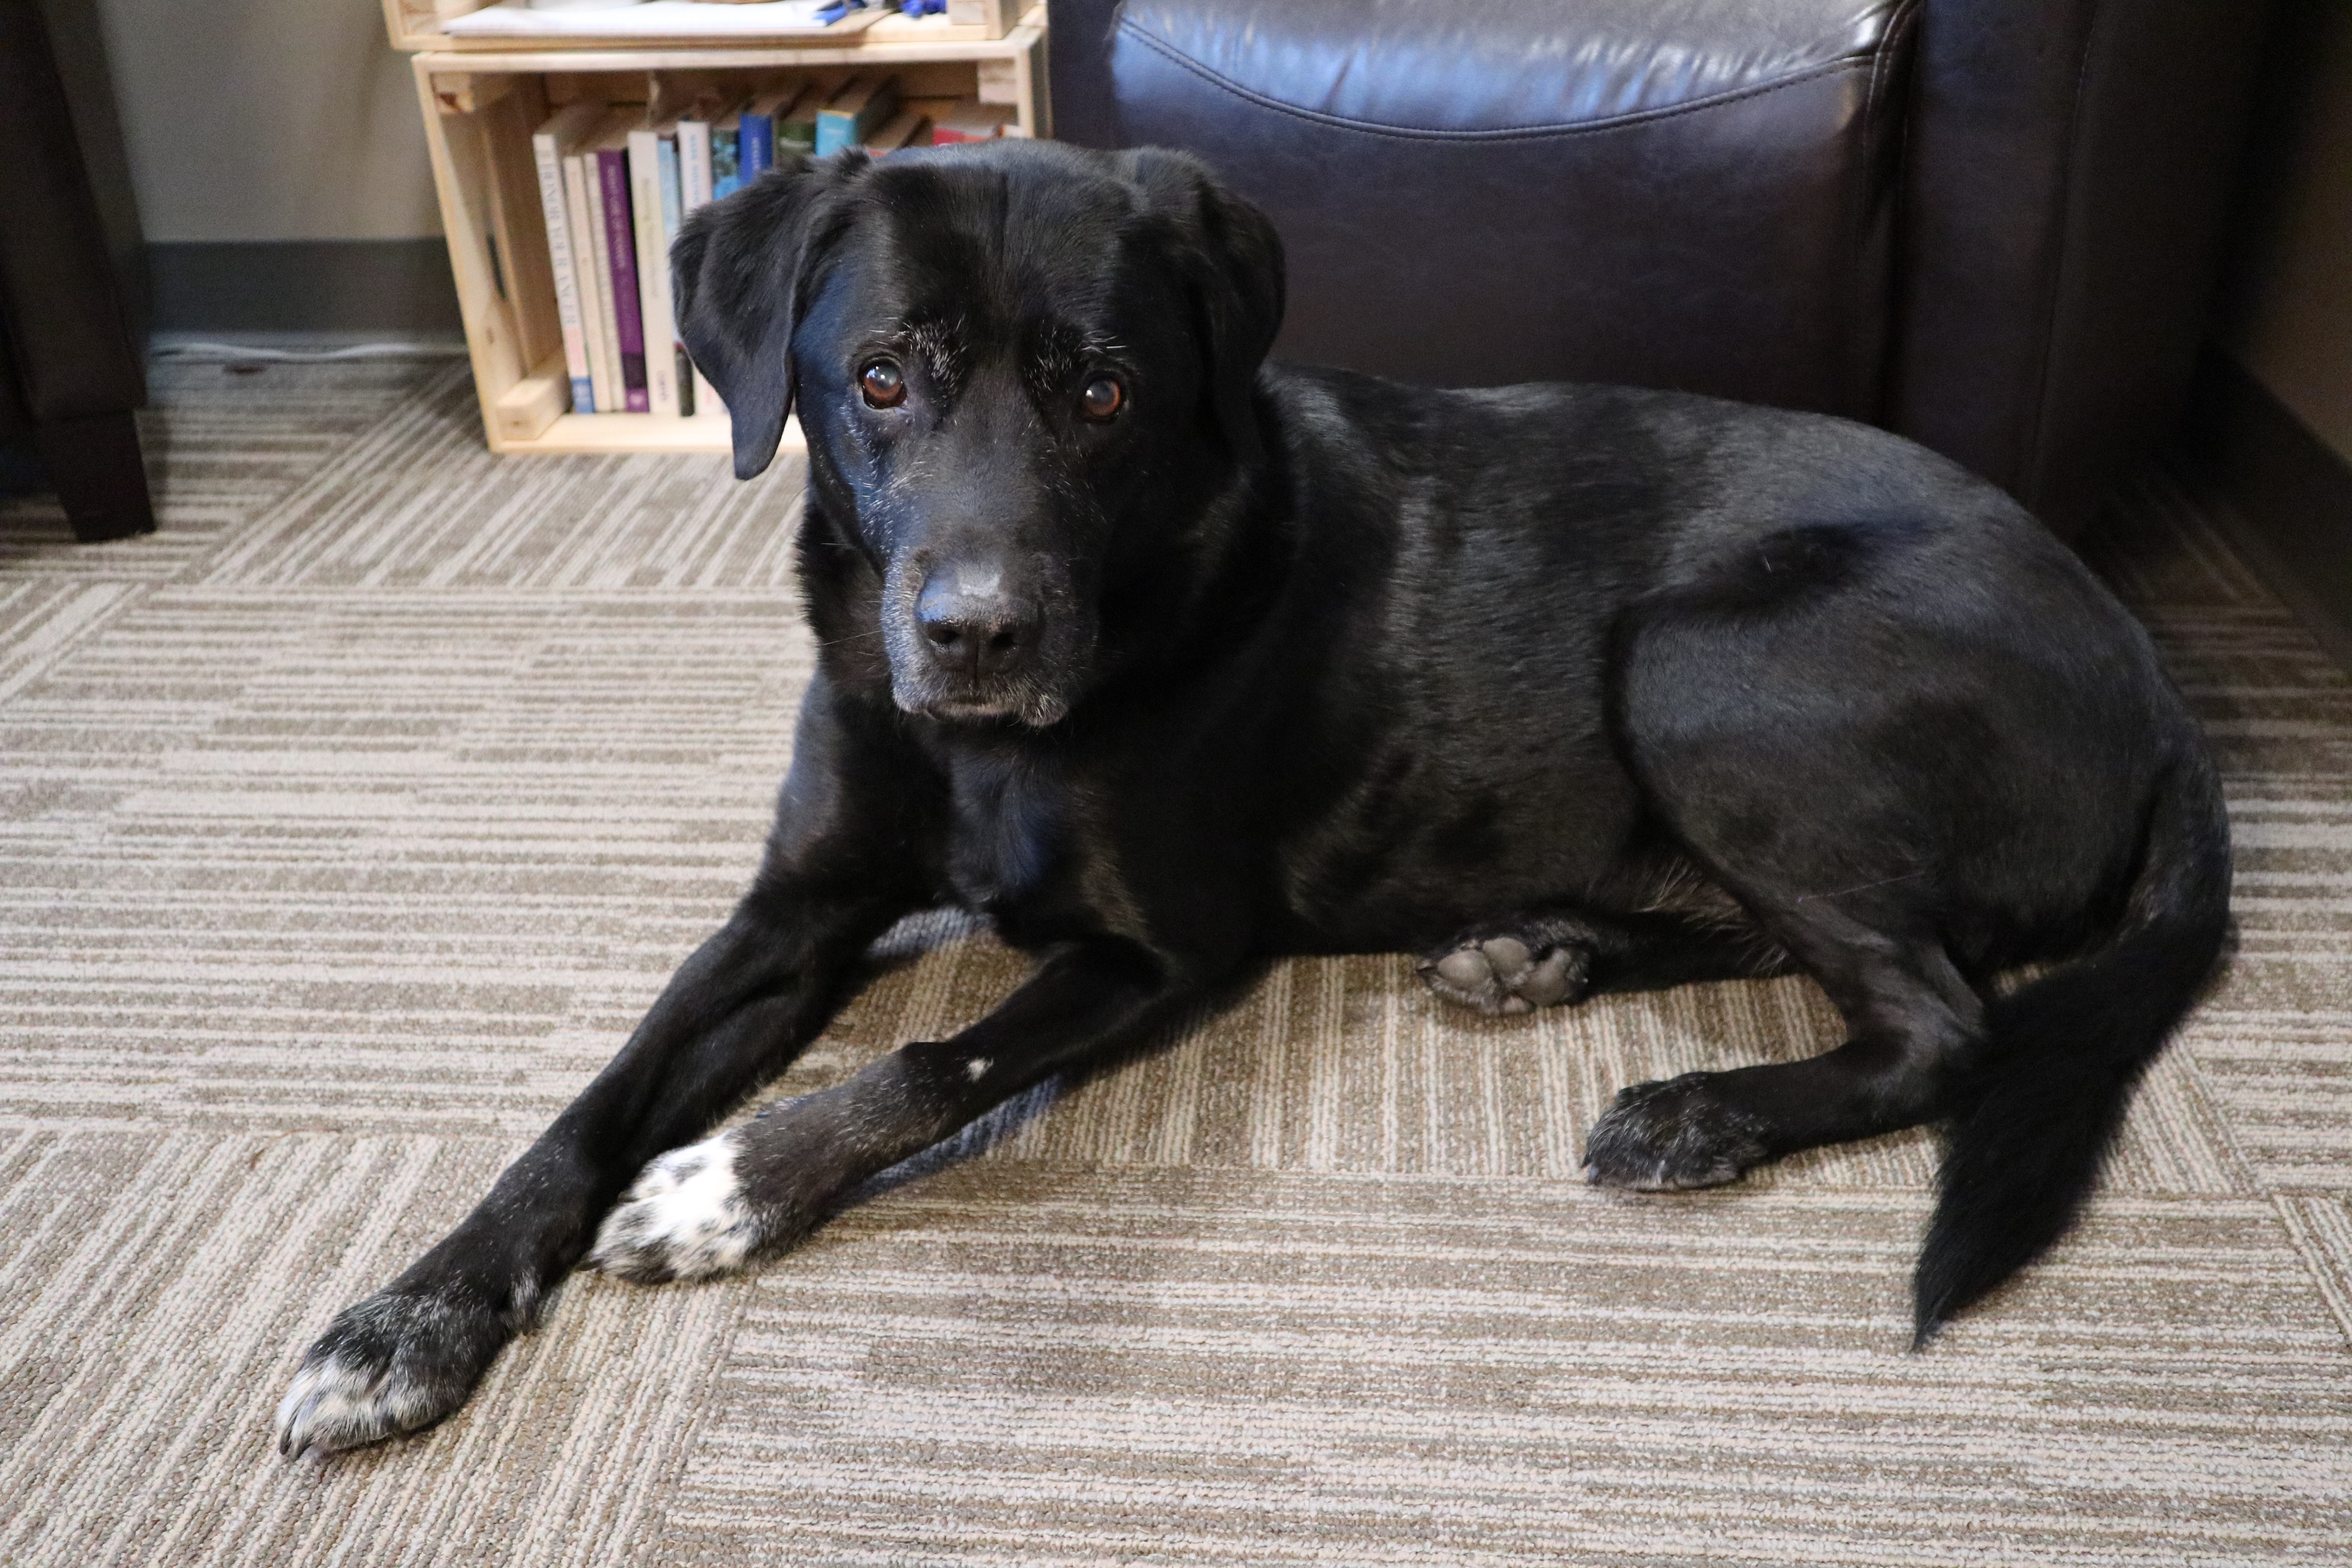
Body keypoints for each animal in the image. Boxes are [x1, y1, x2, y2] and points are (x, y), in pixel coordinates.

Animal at [270, 144, 2220, 1457]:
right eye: (879, 378)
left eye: (1103, 392)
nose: (974, 634)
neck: (992, 743)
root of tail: (2156, 681)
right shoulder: (793, 906)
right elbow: (588, 1101)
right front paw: (410, 1311)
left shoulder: (1170, 946)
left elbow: (926, 1064)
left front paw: (730, 1181)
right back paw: (1540, 949)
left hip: (1698, 659)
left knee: (1940, 1017)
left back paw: (1697, 1108)